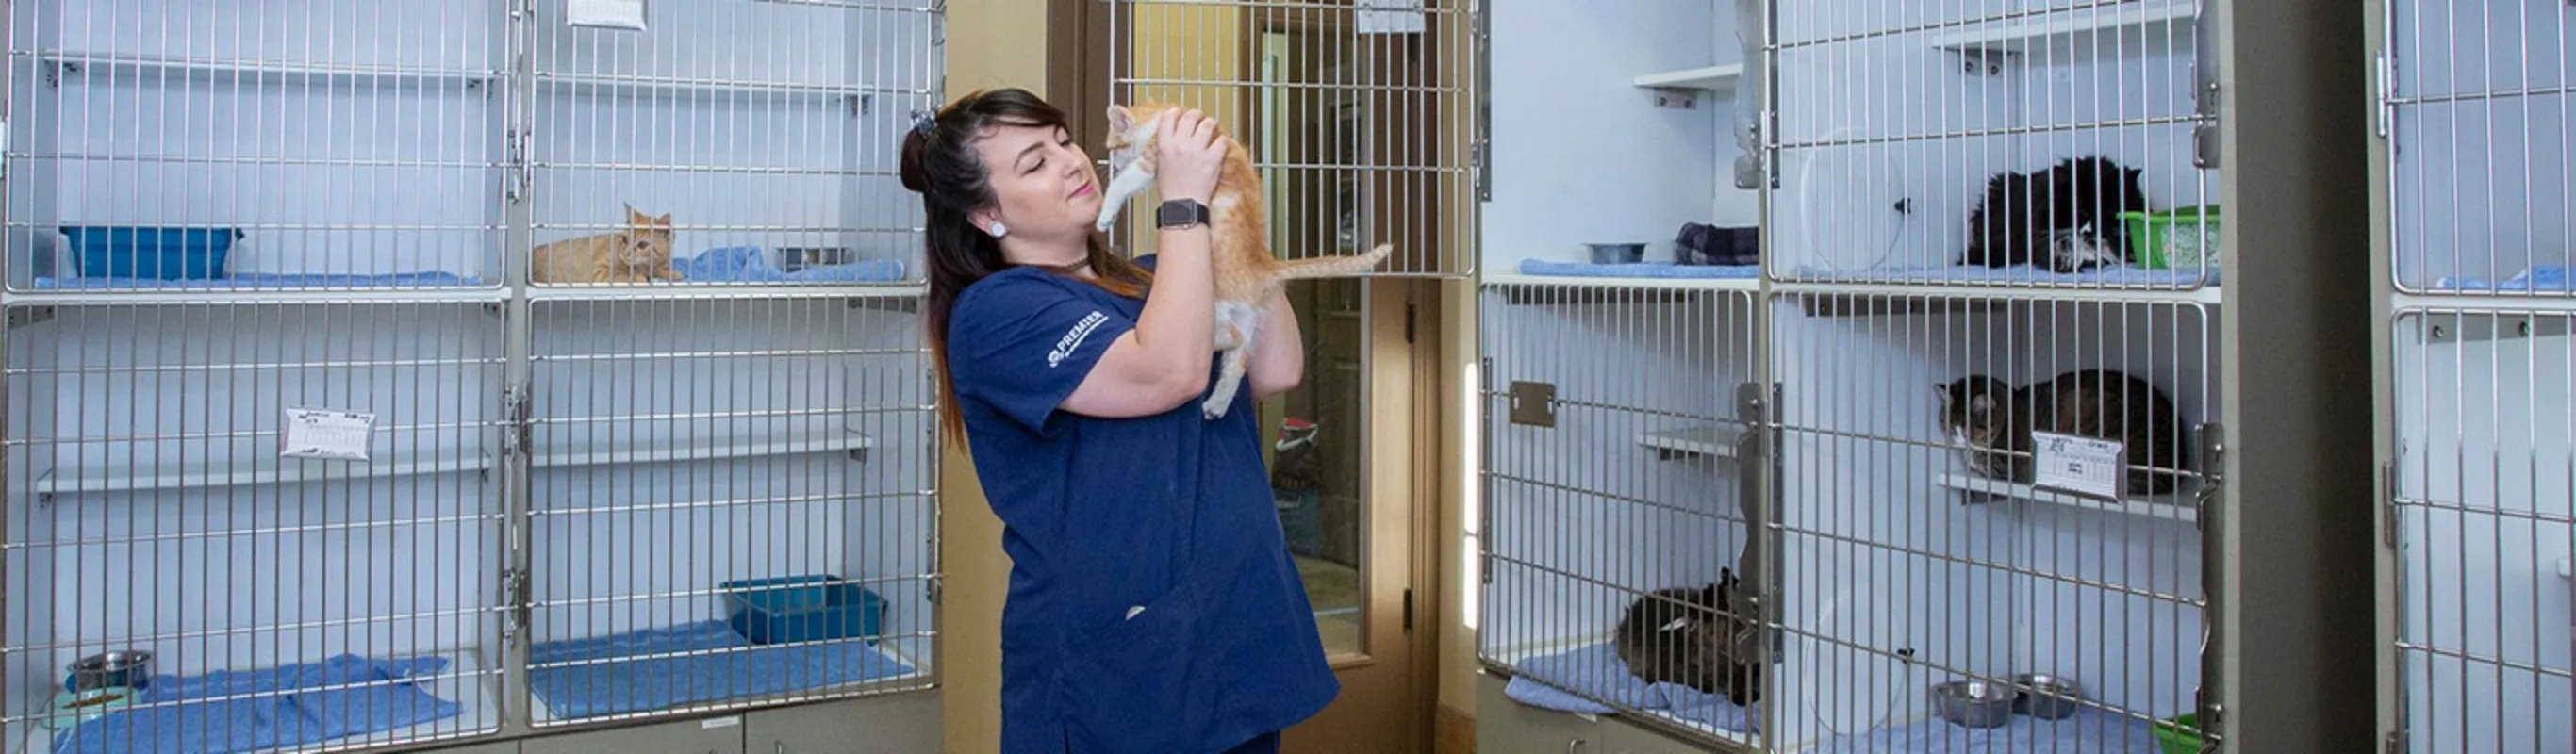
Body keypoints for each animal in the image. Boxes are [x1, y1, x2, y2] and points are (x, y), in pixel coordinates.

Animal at [530, 205, 685, 283]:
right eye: (625, 239)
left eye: (642, 245)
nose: (626, 253)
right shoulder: (599, 269)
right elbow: (621, 274)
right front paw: (638, 278)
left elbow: (658, 269)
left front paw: (671, 273)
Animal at [1097, 100, 1401, 419]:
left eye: (1114, 148)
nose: (1112, 165)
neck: (1162, 117)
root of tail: (1264, 267)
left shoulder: (1153, 156)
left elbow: (1125, 183)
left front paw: (1105, 214)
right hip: (1247, 317)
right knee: (1238, 358)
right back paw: (1216, 405)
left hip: (1215, 301)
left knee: (1228, 339)